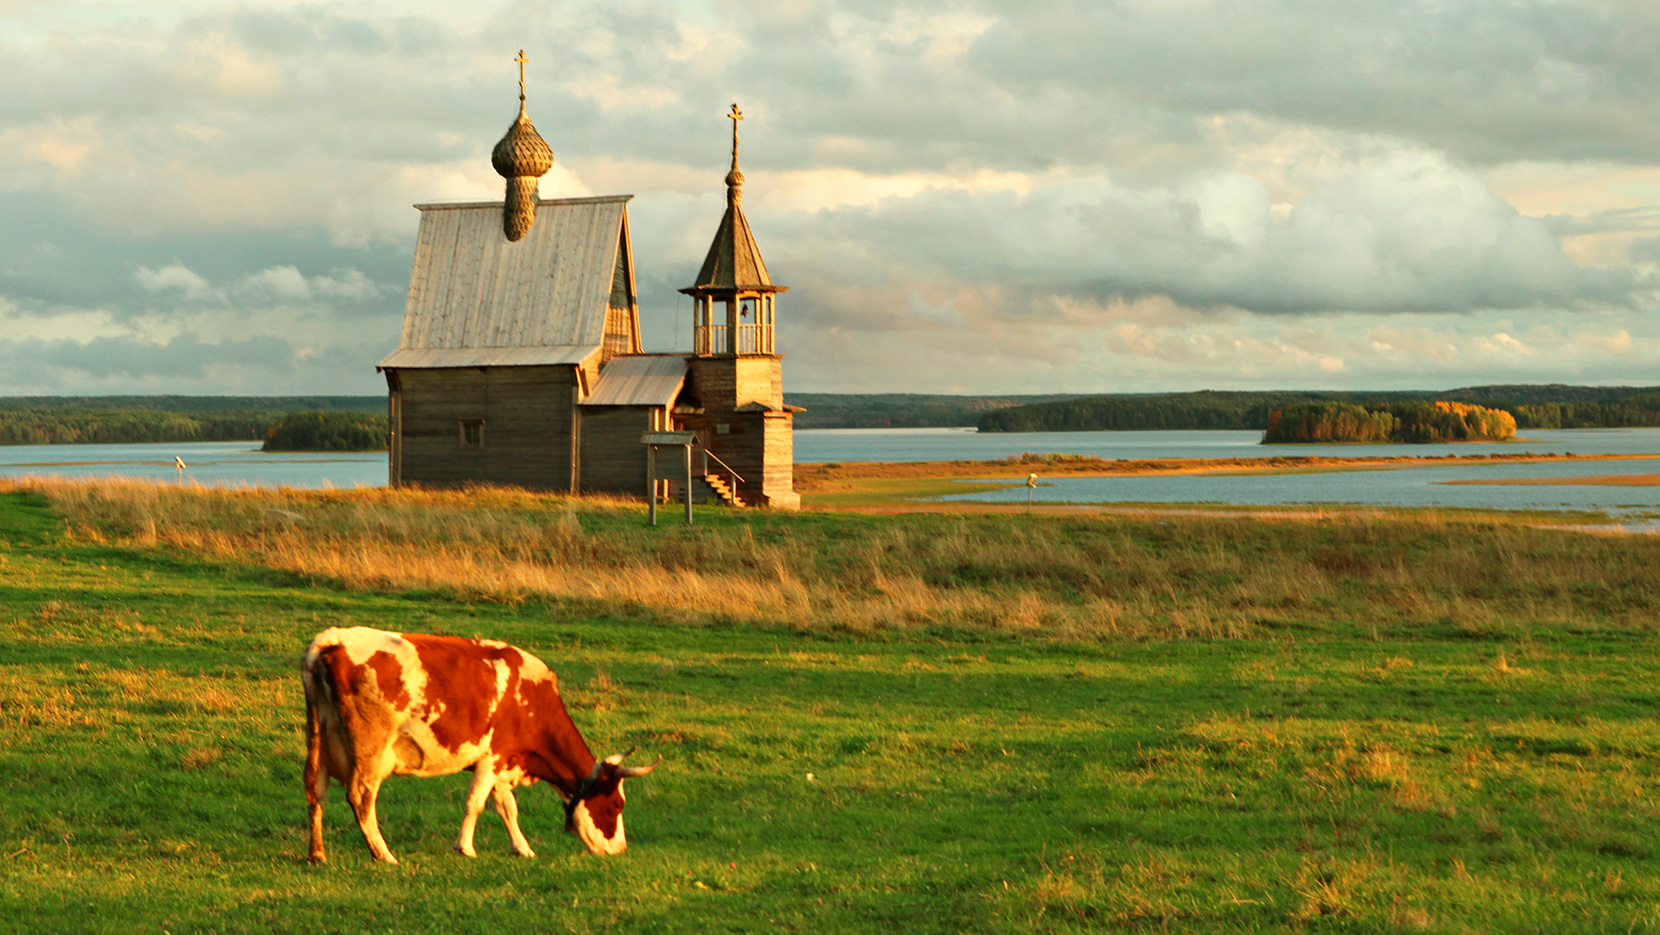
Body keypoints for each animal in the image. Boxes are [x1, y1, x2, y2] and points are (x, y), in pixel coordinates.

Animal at [305, 624, 654, 870]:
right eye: (615, 806)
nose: (620, 849)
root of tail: (333, 639)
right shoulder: (492, 757)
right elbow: (476, 803)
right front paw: (465, 847)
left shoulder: (504, 761)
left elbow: (507, 807)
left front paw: (523, 848)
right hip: (371, 750)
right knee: (361, 797)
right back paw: (383, 853)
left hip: (318, 743)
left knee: (315, 792)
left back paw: (317, 854)